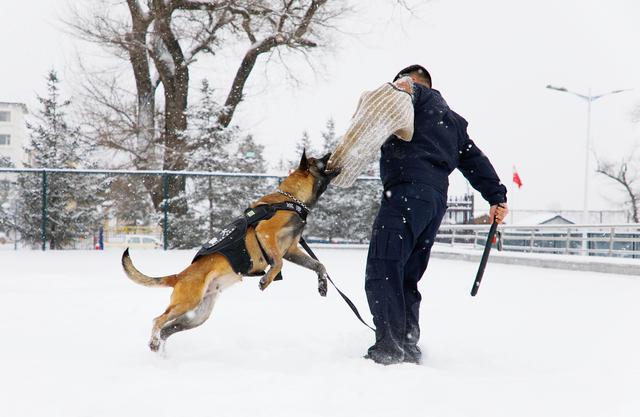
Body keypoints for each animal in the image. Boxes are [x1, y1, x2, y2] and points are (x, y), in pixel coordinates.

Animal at [121, 151, 340, 350]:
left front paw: (323, 285)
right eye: (318, 160)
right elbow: (277, 263)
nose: (331, 153)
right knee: (158, 320)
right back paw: (154, 342)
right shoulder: (266, 233)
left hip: (198, 315)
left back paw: (160, 349)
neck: (291, 199)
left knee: (167, 329)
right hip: (187, 303)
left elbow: (319, 265)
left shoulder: (291, 250)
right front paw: (266, 280)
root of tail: (179, 276)